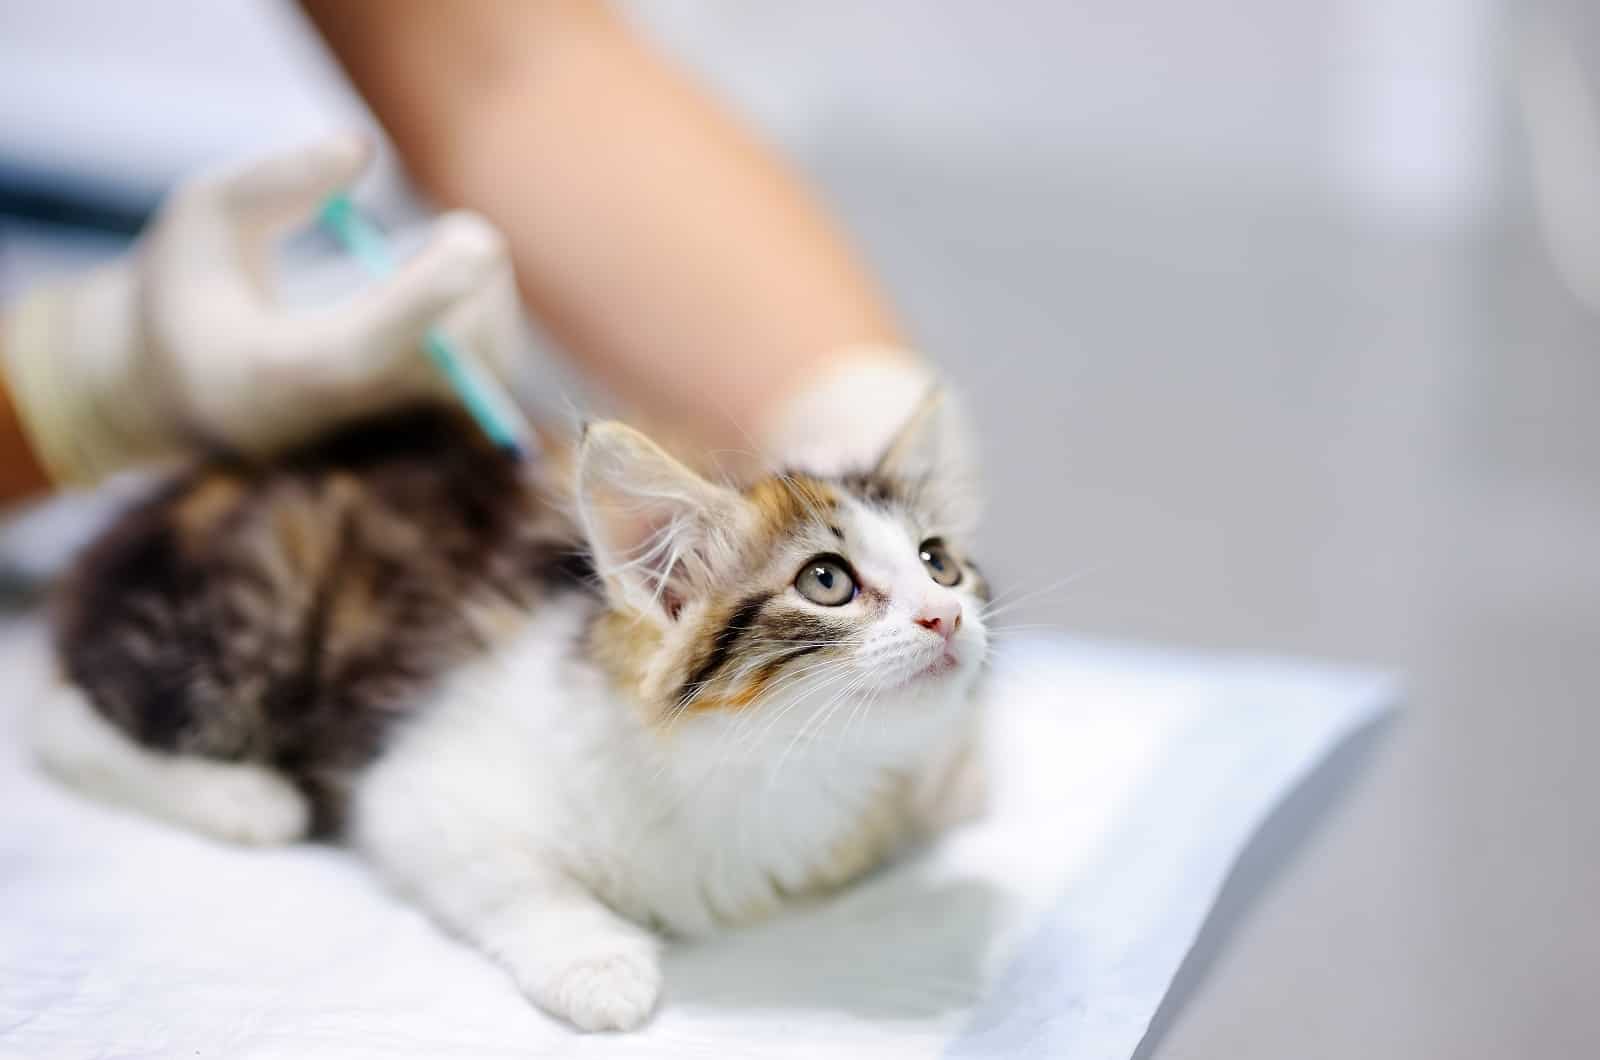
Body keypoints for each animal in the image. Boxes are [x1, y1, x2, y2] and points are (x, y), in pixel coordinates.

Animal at [34, 393, 985, 1031]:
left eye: (940, 562)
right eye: (826, 580)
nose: (947, 616)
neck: (760, 770)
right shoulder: (422, 780)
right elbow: (514, 874)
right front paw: (597, 962)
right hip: (245, 629)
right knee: (54, 716)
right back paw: (241, 798)